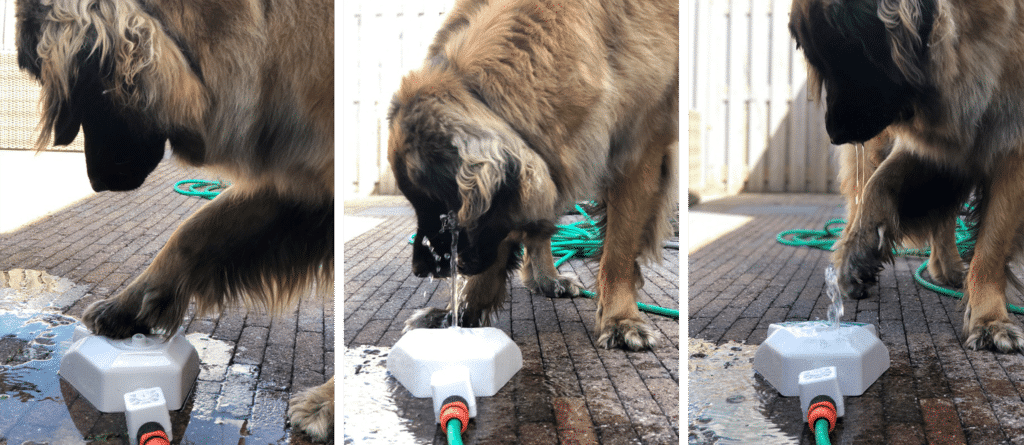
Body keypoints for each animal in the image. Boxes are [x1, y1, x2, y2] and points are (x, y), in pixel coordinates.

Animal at [385, 0, 679, 349]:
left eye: (444, 212)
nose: (418, 270)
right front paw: (459, 313)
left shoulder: (642, 147)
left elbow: (618, 249)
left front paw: (621, 320)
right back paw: (545, 278)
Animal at [790, 0, 1024, 353]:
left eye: (842, 54)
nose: (834, 134)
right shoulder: (936, 140)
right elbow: (877, 187)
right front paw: (858, 256)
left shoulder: (1008, 144)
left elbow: (992, 246)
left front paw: (989, 320)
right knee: (862, 198)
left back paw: (948, 270)